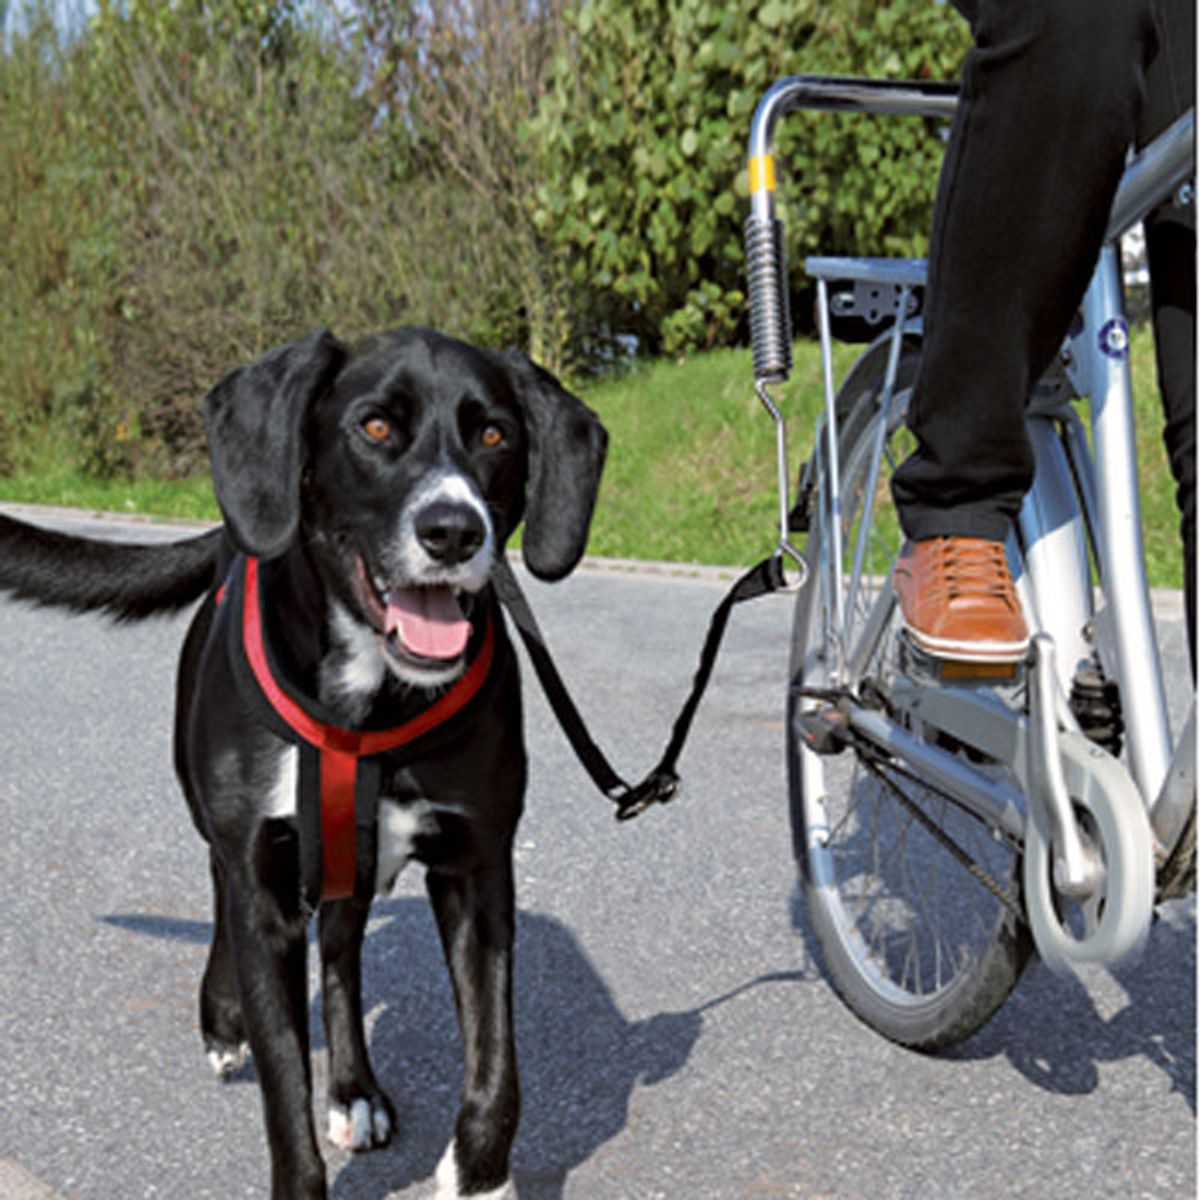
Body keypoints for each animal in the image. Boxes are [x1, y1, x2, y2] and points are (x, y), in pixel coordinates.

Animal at [0, 328, 604, 1200]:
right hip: (225, 828)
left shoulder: (479, 867)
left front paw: (480, 1178)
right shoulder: (262, 880)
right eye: (375, 428)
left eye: (495, 435)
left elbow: (496, 1068)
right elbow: (284, 1089)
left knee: (343, 954)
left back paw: (354, 1090)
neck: (370, 704)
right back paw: (223, 1016)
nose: (454, 530)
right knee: (225, 895)